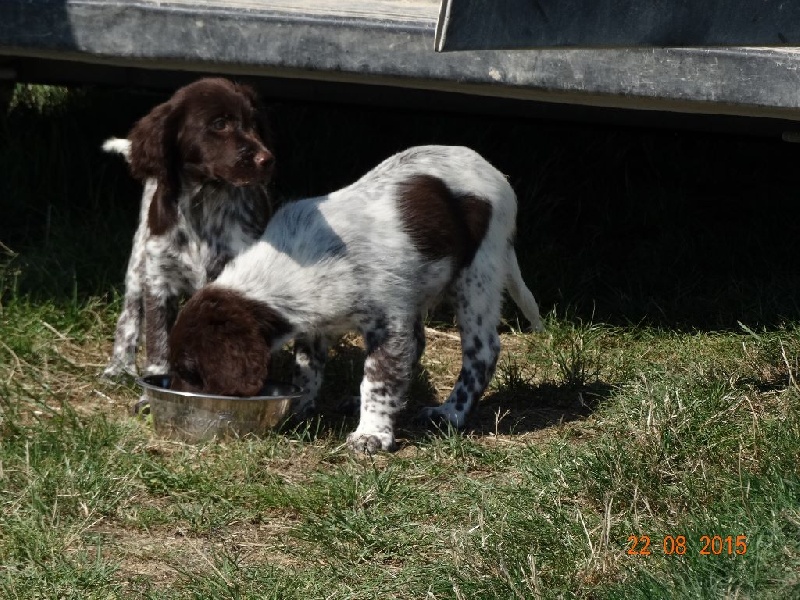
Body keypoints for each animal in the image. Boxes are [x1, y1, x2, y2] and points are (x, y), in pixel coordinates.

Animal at [168, 145, 544, 452]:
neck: (296, 262)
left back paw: (450, 412)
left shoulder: (388, 323)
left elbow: (378, 379)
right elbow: (307, 370)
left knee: (482, 351)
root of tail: (494, 171)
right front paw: (301, 406)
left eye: (190, 370)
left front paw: (372, 434)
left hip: (477, 274)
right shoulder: (317, 326)